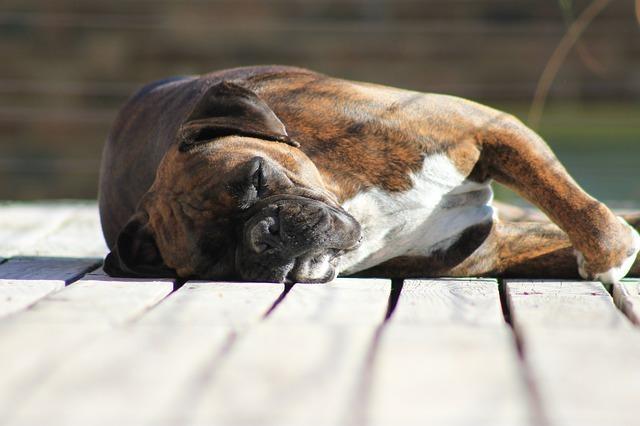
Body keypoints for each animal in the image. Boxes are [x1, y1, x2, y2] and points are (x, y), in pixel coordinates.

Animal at [100, 65, 640, 282]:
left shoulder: (489, 127)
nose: (264, 234)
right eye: (215, 258)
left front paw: (611, 253)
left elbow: (575, 205)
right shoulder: (497, 245)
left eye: (256, 177)